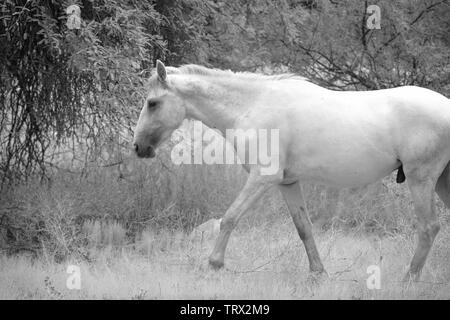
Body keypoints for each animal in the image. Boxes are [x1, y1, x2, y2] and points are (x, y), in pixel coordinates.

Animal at [134, 60, 450, 280]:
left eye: (153, 103)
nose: (138, 147)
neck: (251, 105)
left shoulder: (262, 177)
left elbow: (230, 218)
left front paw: (213, 265)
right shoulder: (287, 183)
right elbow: (304, 228)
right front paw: (318, 274)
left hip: (422, 180)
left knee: (428, 228)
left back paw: (409, 279)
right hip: (441, 183)